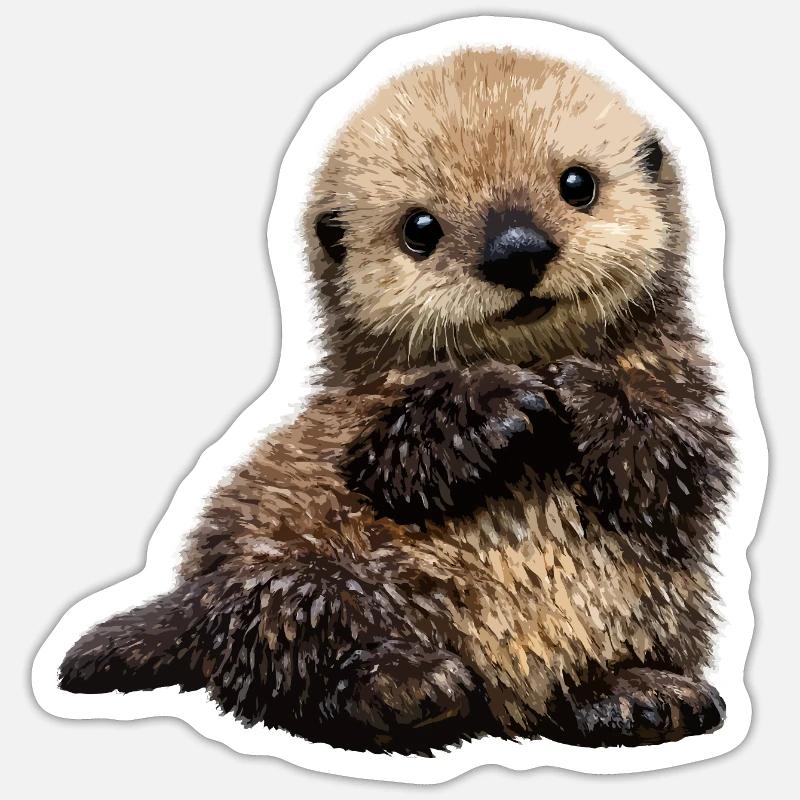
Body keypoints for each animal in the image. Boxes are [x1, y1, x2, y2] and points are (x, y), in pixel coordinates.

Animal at [58, 50, 733, 754]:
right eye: (420, 228)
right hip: (293, 576)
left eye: (579, 185)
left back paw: (638, 694)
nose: (517, 250)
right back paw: (405, 687)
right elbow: (392, 466)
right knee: (290, 658)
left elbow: (674, 465)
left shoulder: (686, 386)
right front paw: (496, 402)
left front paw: (582, 392)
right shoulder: (355, 411)